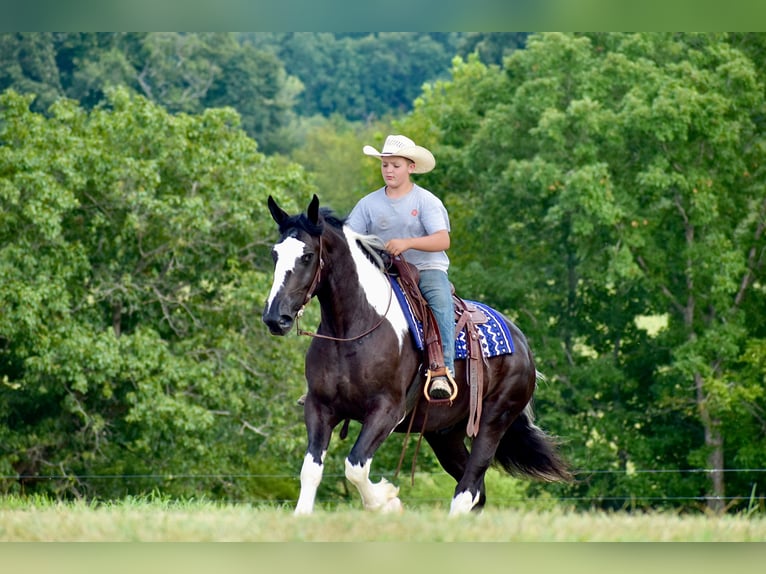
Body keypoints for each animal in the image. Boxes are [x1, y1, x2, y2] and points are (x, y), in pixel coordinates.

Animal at [264, 196, 568, 516]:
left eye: (307, 255)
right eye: (275, 254)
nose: (275, 318)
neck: (352, 330)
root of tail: (522, 344)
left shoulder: (387, 410)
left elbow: (355, 466)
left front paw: (387, 501)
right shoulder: (319, 407)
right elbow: (311, 470)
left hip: (494, 420)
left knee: (469, 487)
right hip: (445, 434)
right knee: (477, 492)